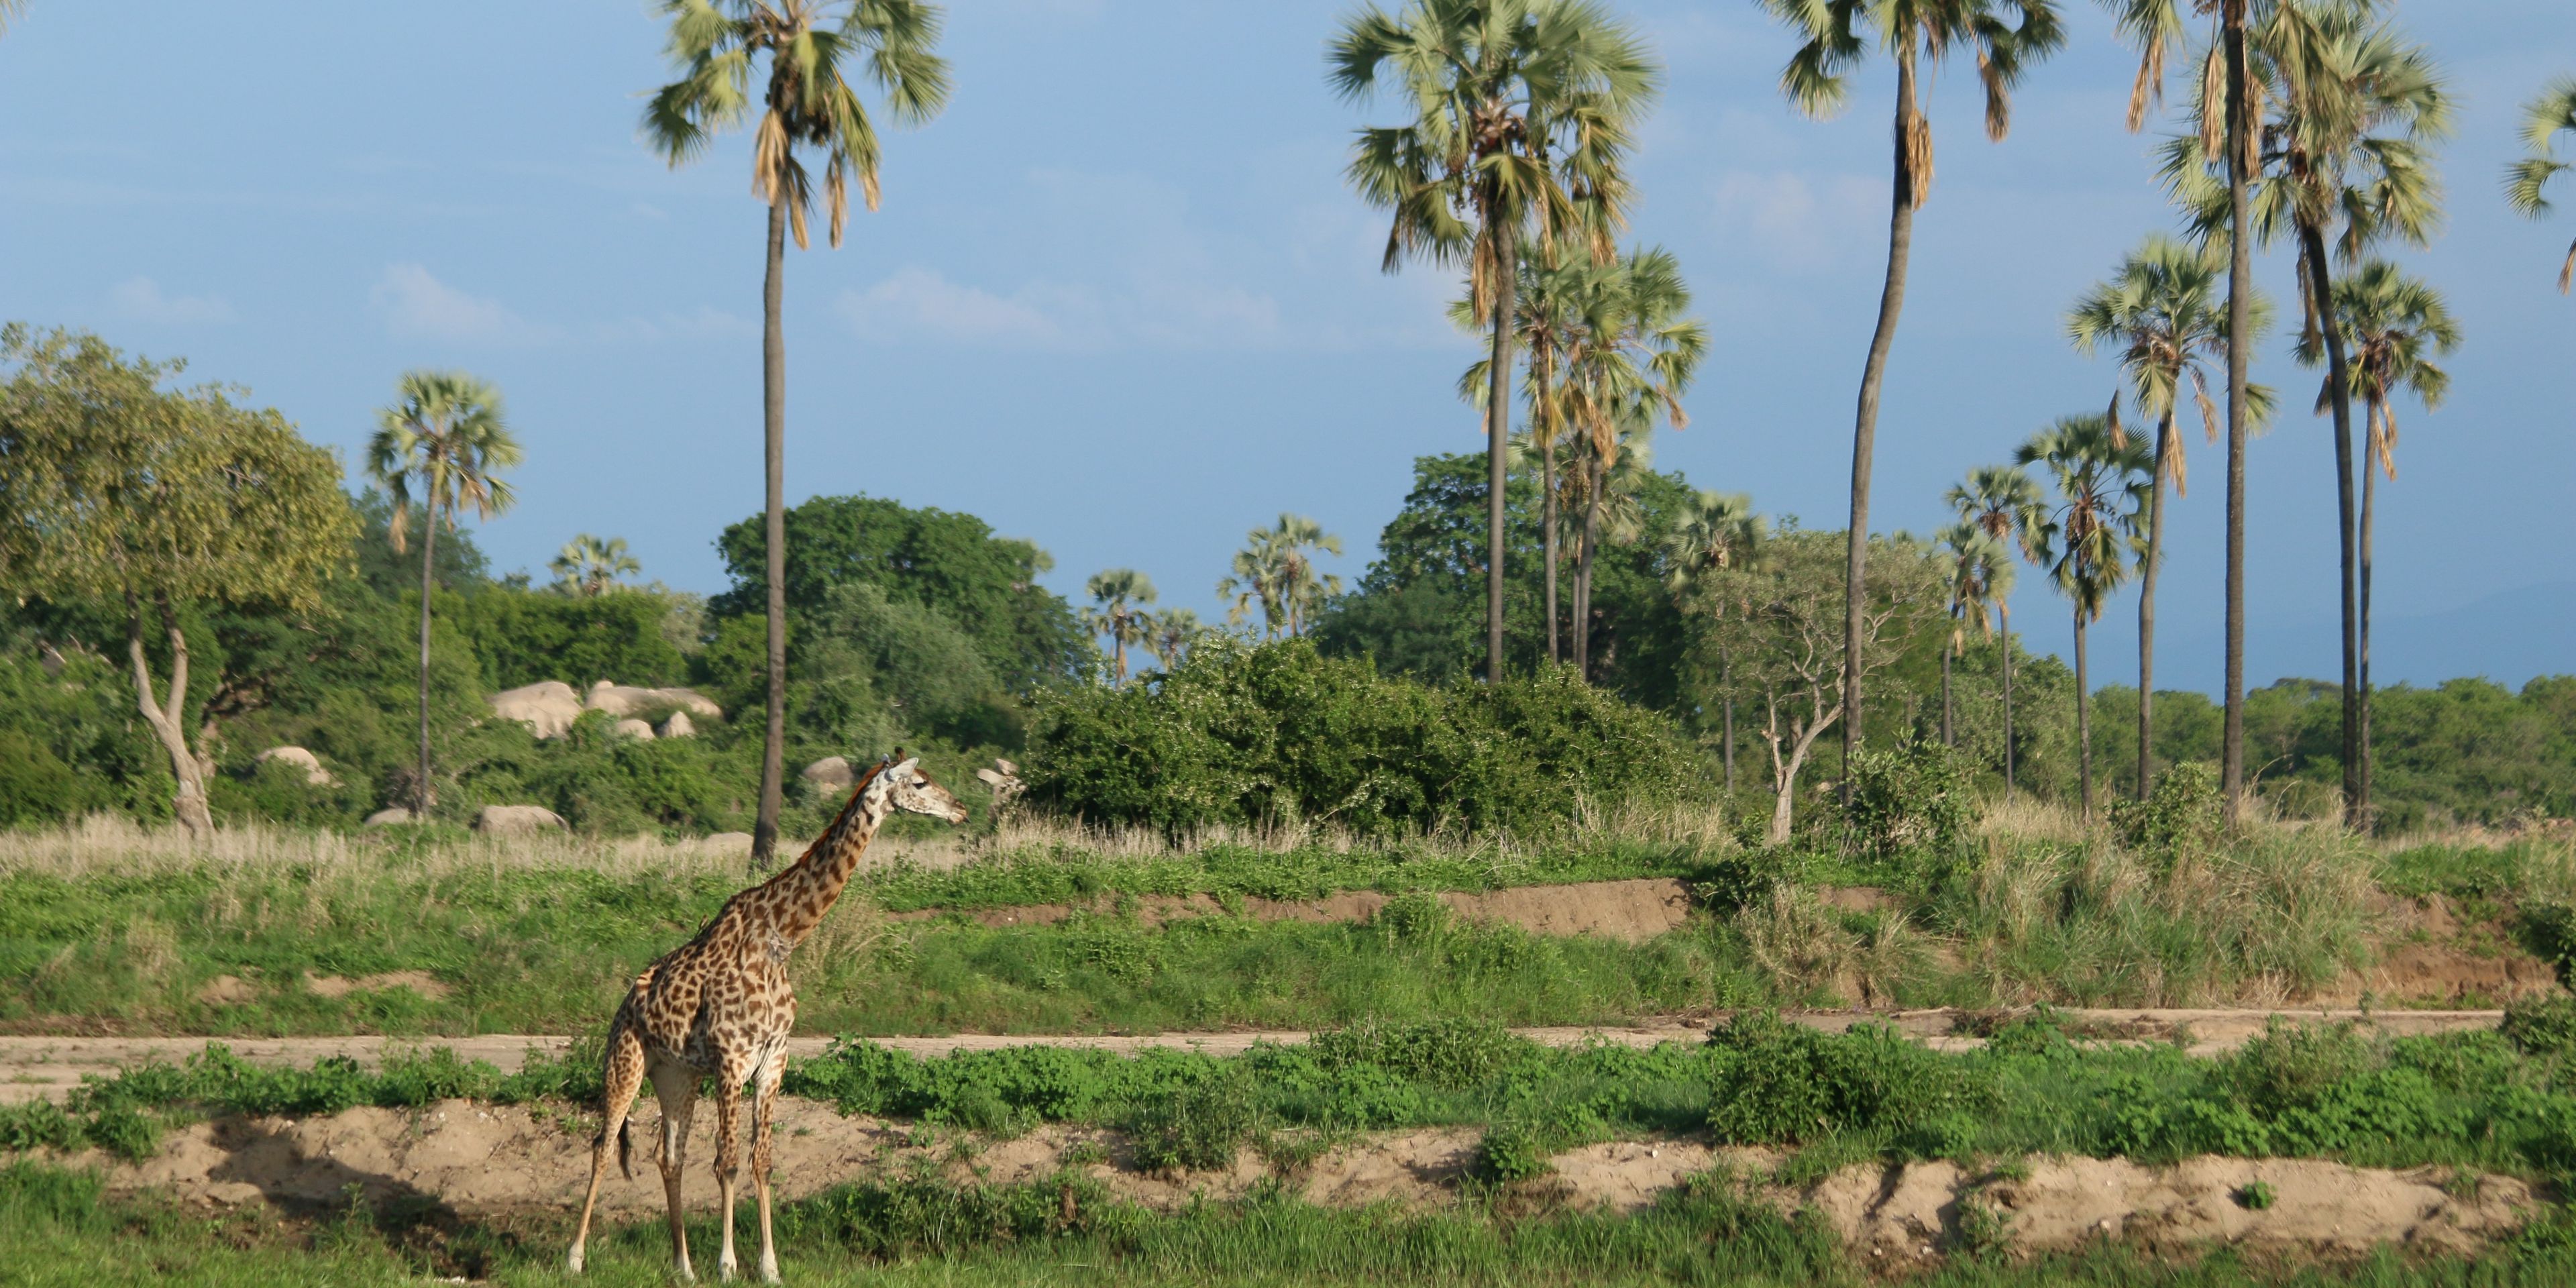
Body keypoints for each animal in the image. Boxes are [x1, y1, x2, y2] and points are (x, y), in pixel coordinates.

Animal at [567, 754, 966, 1282]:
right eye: (920, 782)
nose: (961, 808)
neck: (783, 937)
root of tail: (624, 1005)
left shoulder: (773, 1060)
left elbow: (763, 1163)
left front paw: (770, 1267)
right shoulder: (732, 1060)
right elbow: (729, 1163)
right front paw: (728, 1265)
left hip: (677, 1076)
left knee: (669, 1157)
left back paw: (682, 1267)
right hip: (625, 1062)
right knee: (603, 1146)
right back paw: (575, 1258)